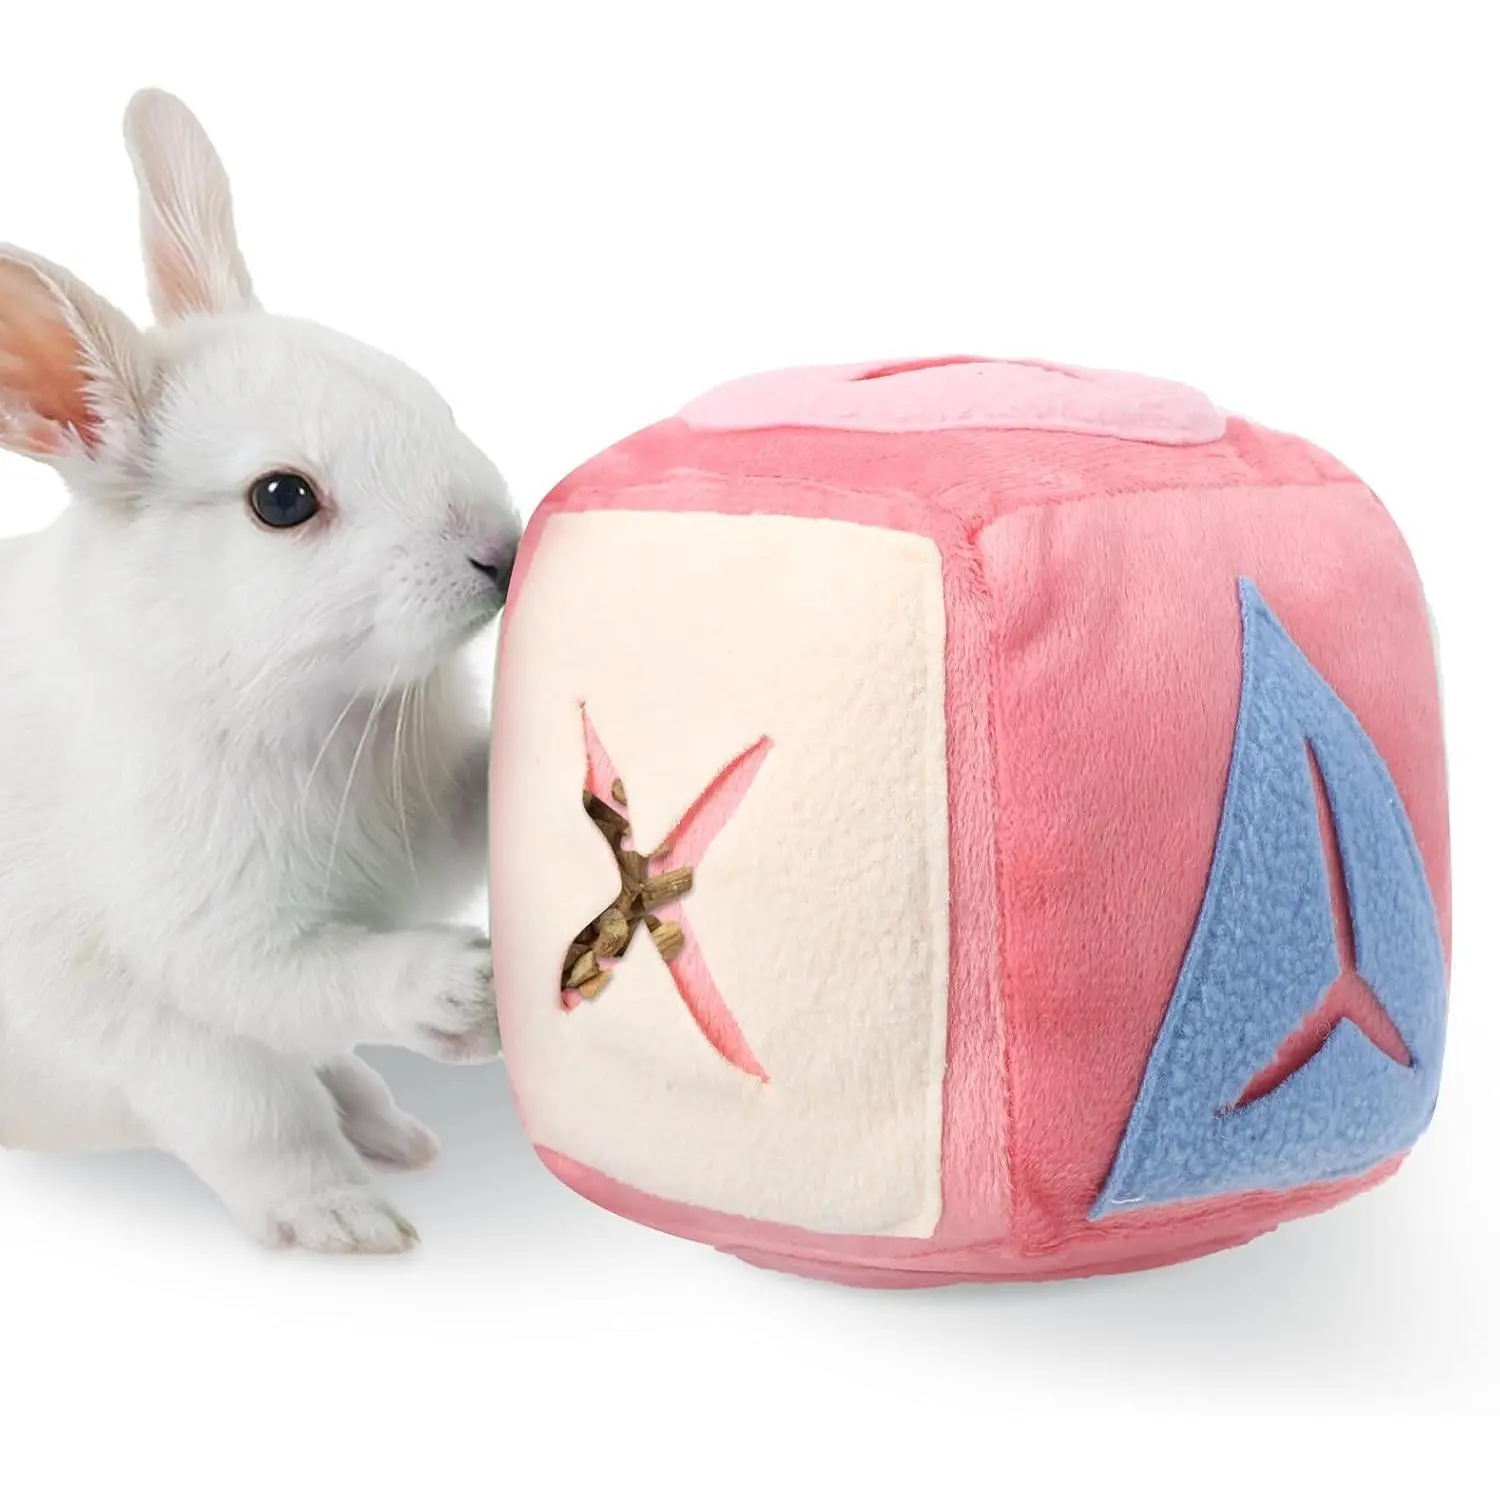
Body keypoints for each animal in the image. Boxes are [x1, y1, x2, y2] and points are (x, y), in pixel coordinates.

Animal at [0, 89, 520, 1252]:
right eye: (282, 500)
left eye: (427, 396)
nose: (502, 554)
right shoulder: (205, 941)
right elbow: (299, 990)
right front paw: (458, 992)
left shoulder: (427, 826)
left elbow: (478, 796)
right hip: (182, 1064)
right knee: (274, 1121)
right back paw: (352, 1216)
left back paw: (395, 1136)